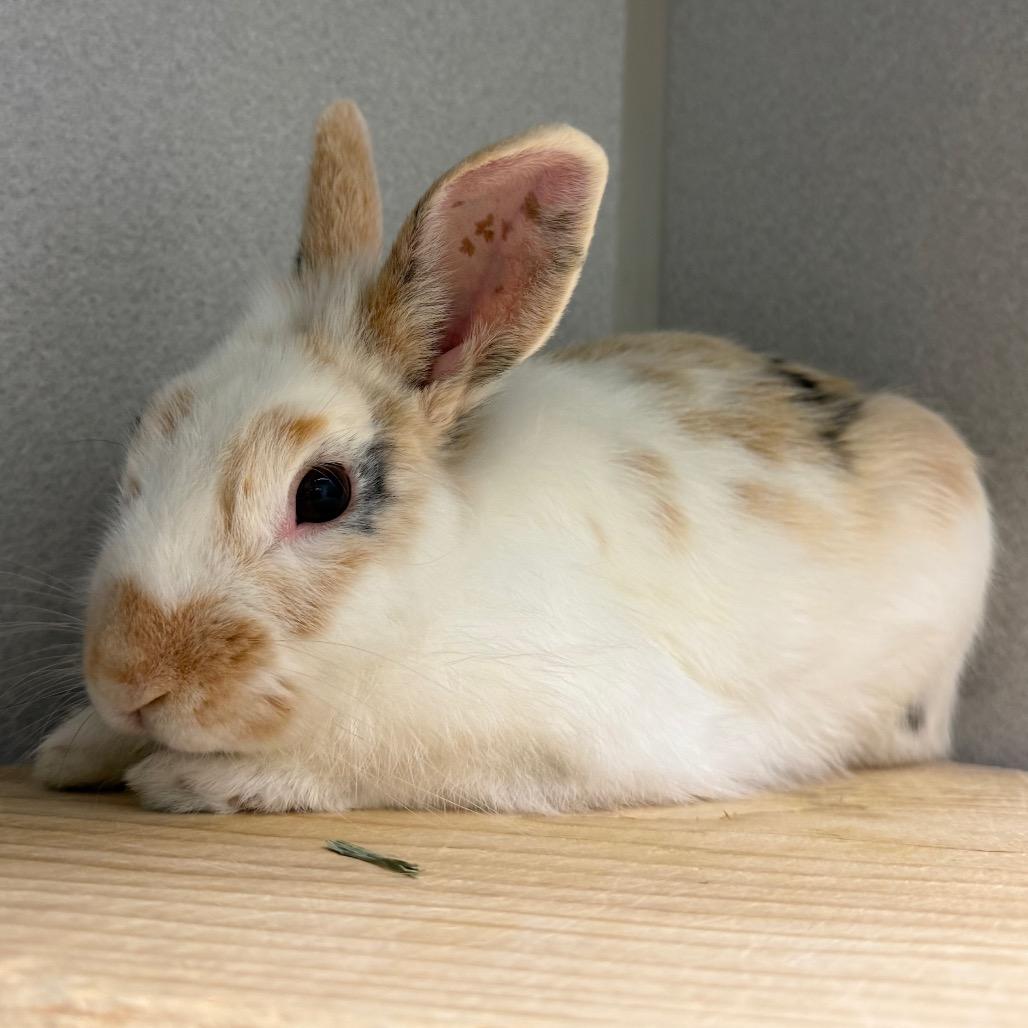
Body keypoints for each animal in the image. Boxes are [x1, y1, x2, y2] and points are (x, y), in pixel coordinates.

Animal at [33, 101, 992, 813]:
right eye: (144, 431)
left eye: (323, 493)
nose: (125, 676)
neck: (419, 592)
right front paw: (67, 751)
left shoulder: (551, 724)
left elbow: (361, 751)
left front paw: (180, 777)